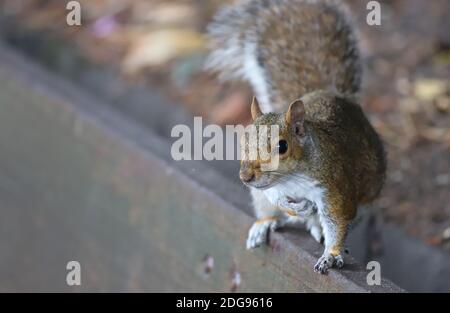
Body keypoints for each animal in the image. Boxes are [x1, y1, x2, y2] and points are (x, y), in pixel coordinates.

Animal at [206, 0, 384, 272]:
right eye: (243, 141)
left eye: (282, 147)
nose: (246, 177)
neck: (291, 178)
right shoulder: (269, 190)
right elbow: (277, 198)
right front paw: (294, 206)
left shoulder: (333, 187)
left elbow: (336, 221)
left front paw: (331, 253)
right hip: (258, 198)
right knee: (271, 211)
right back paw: (266, 223)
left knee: (325, 222)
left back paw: (315, 227)